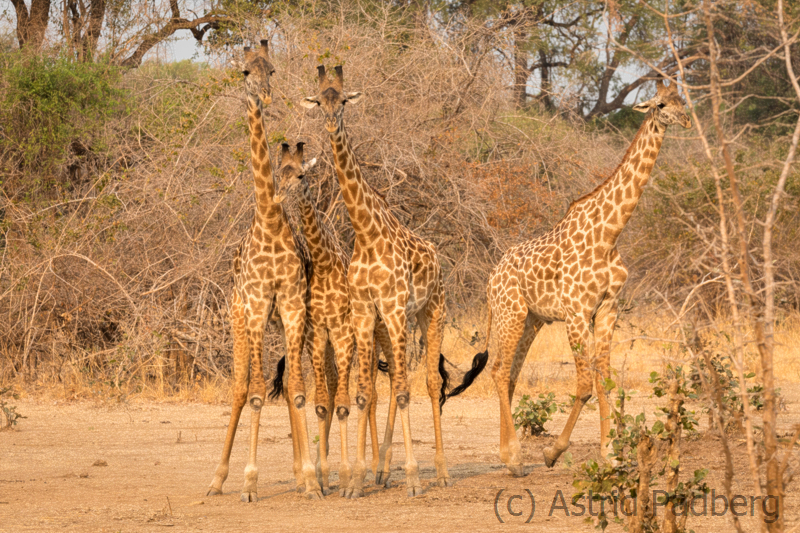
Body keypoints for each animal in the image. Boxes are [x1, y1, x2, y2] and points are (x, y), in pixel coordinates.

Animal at [205, 40, 324, 498]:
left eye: (271, 68)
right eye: (244, 71)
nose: (265, 96)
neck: (271, 224)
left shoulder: (291, 305)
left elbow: (297, 389)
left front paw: (309, 477)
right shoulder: (256, 307)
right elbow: (255, 392)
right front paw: (250, 481)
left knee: (286, 384)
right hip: (238, 319)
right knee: (240, 387)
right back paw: (218, 479)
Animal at [270, 140, 392, 494]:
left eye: (300, 175)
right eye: (278, 173)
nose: (279, 197)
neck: (323, 264)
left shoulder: (342, 331)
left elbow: (344, 405)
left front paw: (348, 474)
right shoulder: (317, 332)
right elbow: (323, 402)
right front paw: (322, 477)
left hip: (373, 338)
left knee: (374, 393)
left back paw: (379, 470)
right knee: (342, 386)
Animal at [302, 64, 484, 496]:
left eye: (343, 100)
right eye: (320, 101)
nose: (331, 123)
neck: (366, 233)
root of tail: (438, 258)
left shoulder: (396, 308)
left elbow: (403, 392)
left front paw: (414, 478)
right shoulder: (366, 311)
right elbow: (364, 394)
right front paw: (355, 482)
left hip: (431, 312)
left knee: (430, 384)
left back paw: (441, 472)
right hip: (392, 323)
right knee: (393, 383)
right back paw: (383, 471)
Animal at [466, 80, 692, 474]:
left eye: (682, 99)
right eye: (661, 104)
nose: (686, 120)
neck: (609, 234)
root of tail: (492, 277)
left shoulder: (607, 308)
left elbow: (605, 379)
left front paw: (611, 453)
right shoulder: (575, 312)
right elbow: (585, 384)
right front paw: (553, 452)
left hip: (532, 320)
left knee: (509, 375)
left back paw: (508, 454)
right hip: (511, 314)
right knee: (498, 370)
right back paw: (515, 459)